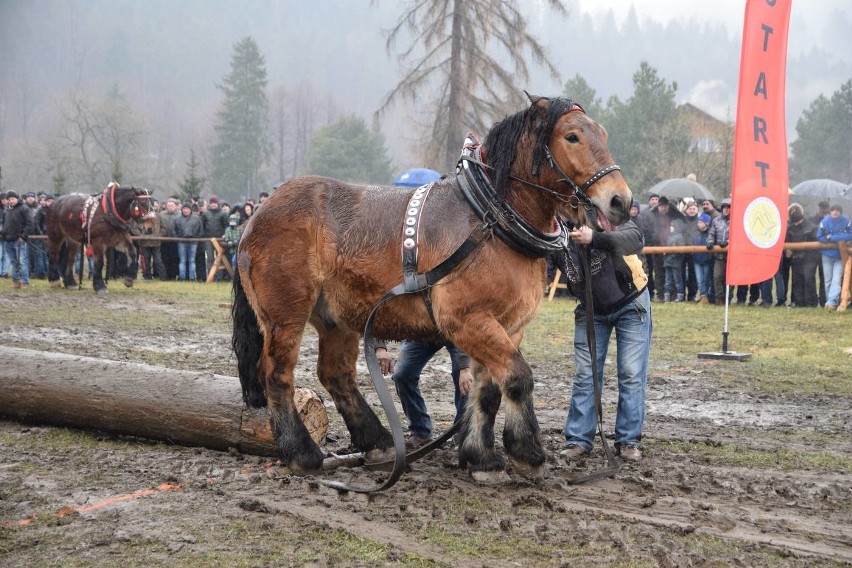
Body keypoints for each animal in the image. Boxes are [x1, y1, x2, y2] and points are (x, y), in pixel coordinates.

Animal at [233, 94, 632, 484]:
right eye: (572, 137)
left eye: (604, 134)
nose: (621, 201)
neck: (489, 221)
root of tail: (258, 215)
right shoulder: (467, 321)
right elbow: (518, 378)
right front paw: (526, 453)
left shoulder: (507, 326)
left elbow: (488, 390)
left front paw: (481, 457)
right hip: (286, 314)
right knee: (277, 373)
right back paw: (302, 452)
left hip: (337, 317)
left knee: (335, 373)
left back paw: (378, 442)